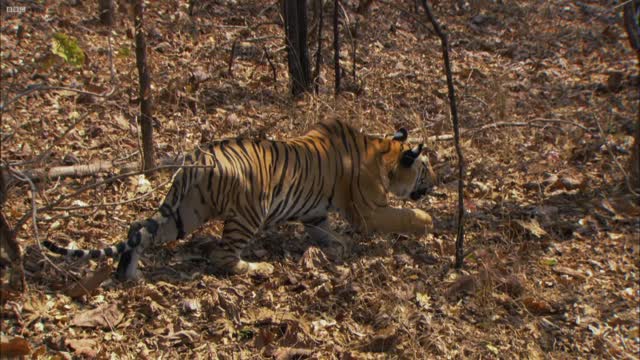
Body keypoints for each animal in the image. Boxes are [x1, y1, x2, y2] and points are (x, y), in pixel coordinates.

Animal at [42, 121, 438, 282]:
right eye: (426, 170)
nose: (437, 184)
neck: (383, 152)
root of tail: (197, 157)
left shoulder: (315, 213)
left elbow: (324, 231)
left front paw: (337, 246)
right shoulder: (369, 210)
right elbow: (403, 216)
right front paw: (427, 222)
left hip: (186, 211)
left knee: (139, 227)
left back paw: (128, 273)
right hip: (248, 213)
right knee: (222, 256)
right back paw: (258, 268)